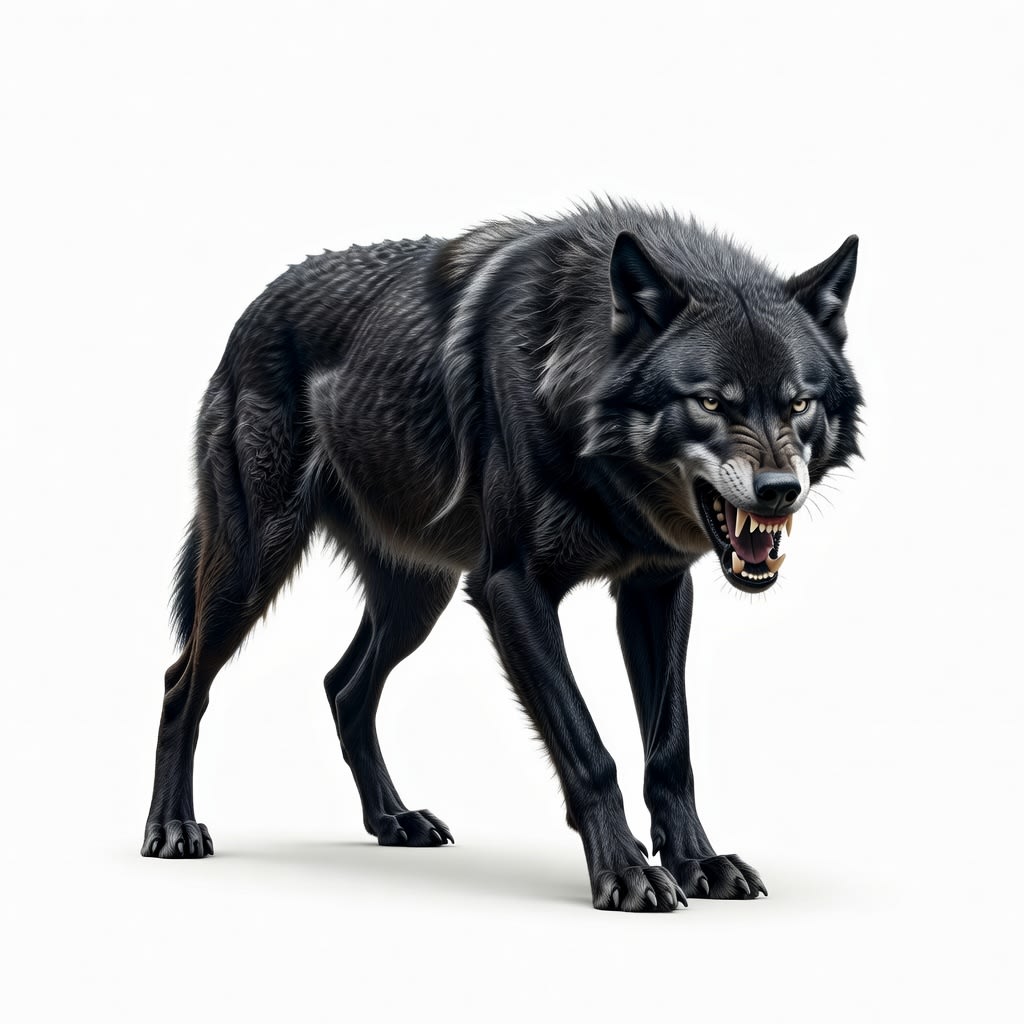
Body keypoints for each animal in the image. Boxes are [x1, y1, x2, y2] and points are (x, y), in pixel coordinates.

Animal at [142, 199, 862, 912]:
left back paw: (394, 820)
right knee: (182, 682)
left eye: (799, 402)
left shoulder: (656, 589)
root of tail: (252, 310)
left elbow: (670, 750)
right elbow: (589, 748)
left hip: (417, 600)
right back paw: (173, 827)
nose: (780, 490)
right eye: (710, 400)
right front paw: (626, 873)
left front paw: (697, 862)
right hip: (254, 566)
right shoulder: (512, 588)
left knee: (343, 688)